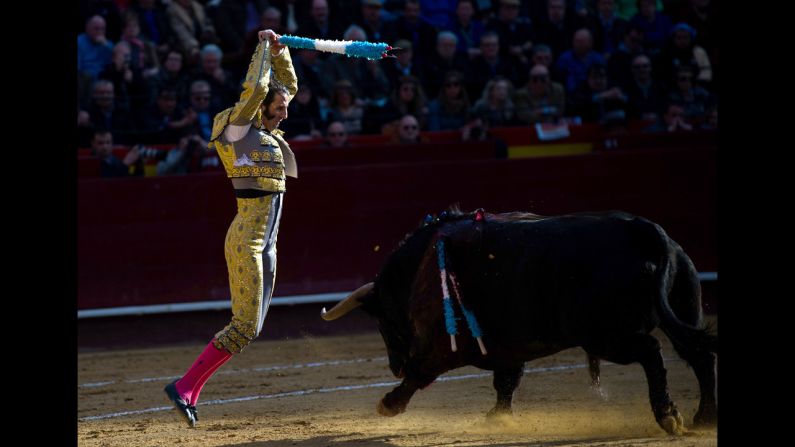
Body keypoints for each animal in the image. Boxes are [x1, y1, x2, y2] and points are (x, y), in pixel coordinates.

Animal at [320, 211, 720, 438]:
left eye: (384, 320)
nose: (394, 366)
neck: (418, 267)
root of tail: (645, 232)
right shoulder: (509, 347)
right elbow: (507, 380)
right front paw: (497, 418)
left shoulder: (444, 346)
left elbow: (422, 372)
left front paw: (388, 404)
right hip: (682, 309)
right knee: (699, 355)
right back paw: (704, 419)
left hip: (605, 336)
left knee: (653, 352)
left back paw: (669, 416)